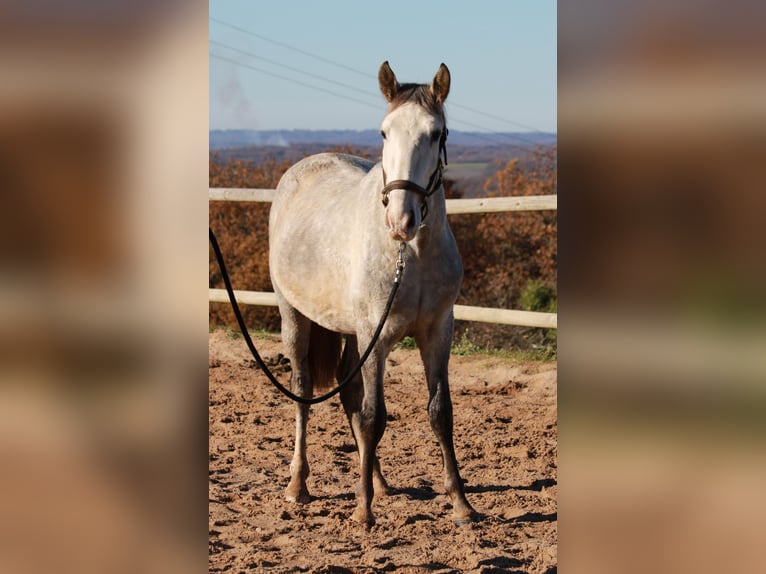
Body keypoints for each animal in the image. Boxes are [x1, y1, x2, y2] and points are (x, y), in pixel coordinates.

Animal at [268, 62, 474, 528]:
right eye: (383, 132)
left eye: (437, 133)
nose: (401, 220)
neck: (410, 254)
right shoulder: (375, 340)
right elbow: (374, 416)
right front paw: (362, 511)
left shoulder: (438, 332)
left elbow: (440, 413)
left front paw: (460, 502)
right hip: (297, 318)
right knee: (304, 389)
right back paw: (298, 485)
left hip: (348, 330)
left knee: (348, 395)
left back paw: (379, 482)